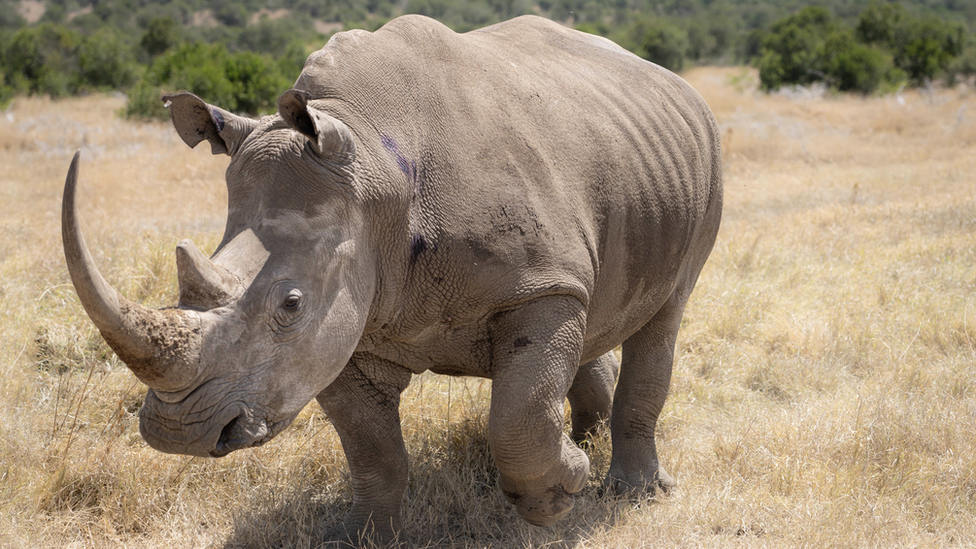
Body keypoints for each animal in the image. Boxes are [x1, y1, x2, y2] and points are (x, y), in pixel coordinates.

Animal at [61, 15, 720, 540]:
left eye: (291, 304)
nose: (179, 431)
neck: (371, 169)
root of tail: (671, 81)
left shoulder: (538, 284)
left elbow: (519, 415)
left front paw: (559, 498)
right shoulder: (349, 320)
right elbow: (369, 445)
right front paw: (360, 537)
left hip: (701, 163)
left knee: (665, 314)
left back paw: (633, 493)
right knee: (597, 305)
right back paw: (587, 438)